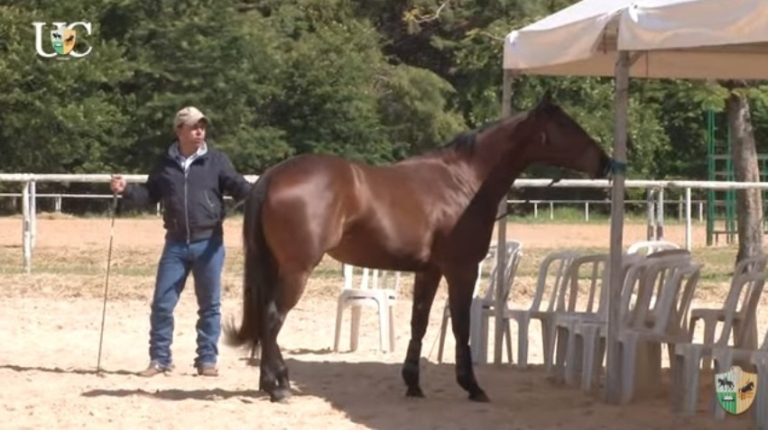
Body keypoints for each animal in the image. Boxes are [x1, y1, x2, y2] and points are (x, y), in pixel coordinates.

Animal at [226, 94, 613, 403]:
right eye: (566, 125)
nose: (605, 161)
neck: (463, 181)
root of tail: (273, 175)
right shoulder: (461, 269)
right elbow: (460, 326)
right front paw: (472, 386)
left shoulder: (430, 270)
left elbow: (419, 323)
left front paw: (413, 383)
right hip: (297, 270)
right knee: (273, 317)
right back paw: (278, 386)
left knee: (266, 319)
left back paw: (270, 381)